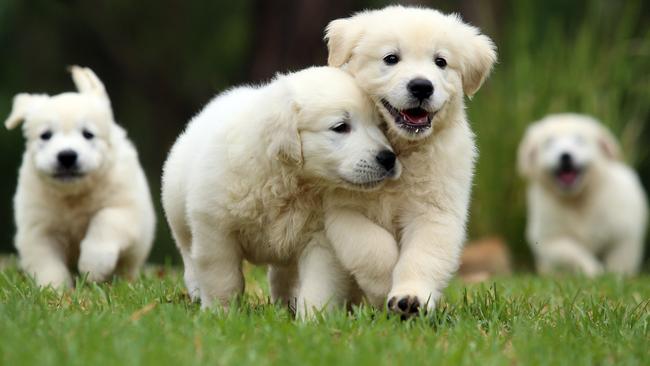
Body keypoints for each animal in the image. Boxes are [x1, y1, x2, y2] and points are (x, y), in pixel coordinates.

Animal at [4, 66, 156, 288]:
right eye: (46, 135)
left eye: (88, 134)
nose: (67, 156)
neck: (73, 196)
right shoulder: (39, 229)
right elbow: (47, 264)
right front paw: (54, 289)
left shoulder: (125, 209)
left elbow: (104, 221)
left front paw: (94, 266)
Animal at [159, 66, 398, 318]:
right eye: (340, 127)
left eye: (381, 125)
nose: (388, 158)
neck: (289, 183)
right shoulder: (215, 228)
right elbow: (222, 277)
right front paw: (220, 313)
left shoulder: (321, 240)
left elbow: (319, 285)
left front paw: (312, 319)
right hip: (177, 214)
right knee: (188, 253)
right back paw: (196, 290)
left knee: (282, 275)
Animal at [324, 5, 496, 318]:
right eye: (391, 58)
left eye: (440, 62)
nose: (421, 86)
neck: (400, 149)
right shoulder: (340, 209)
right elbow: (372, 246)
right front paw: (383, 288)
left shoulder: (435, 210)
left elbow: (422, 256)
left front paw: (410, 299)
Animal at [516, 113, 644, 276]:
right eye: (549, 142)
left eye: (579, 140)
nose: (565, 156)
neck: (576, 199)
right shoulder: (549, 240)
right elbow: (574, 252)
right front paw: (592, 271)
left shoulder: (624, 236)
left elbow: (619, 261)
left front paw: (617, 275)